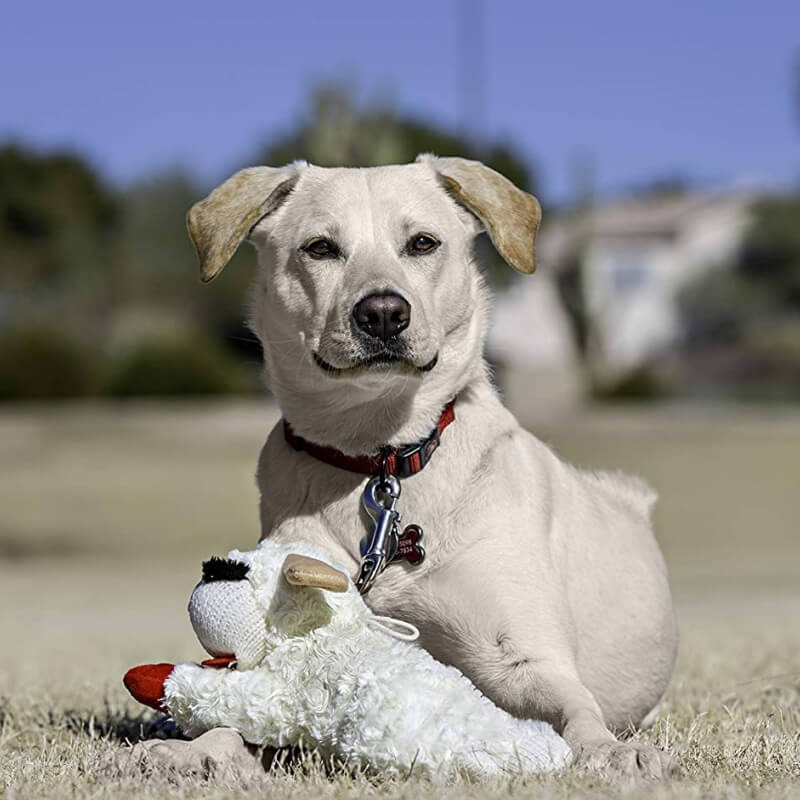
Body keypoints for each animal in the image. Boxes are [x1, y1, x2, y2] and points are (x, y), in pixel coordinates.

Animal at [138, 156, 676, 780]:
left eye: (422, 242)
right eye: (320, 248)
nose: (382, 313)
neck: (380, 455)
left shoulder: (520, 655)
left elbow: (575, 708)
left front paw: (610, 750)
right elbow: (246, 710)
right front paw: (198, 749)